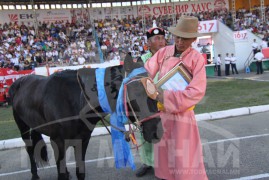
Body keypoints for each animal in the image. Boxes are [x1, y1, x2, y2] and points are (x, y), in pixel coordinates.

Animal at [8, 62, 162, 179]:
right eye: (136, 94)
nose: (157, 131)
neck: (76, 100)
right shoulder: (57, 141)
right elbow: (61, 173)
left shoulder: (83, 140)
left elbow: (80, 171)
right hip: (23, 126)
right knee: (29, 148)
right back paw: (34, 174)